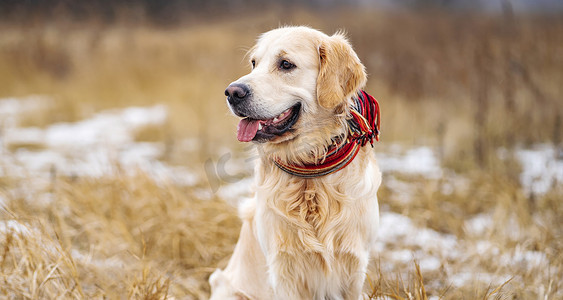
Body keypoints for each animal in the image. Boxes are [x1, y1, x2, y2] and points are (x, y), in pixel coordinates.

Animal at [212, 26, 384, 300]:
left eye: (285, 64)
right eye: (254, 63)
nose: (232, 92)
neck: (310, 170)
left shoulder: (354, 264)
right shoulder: (283, 269)